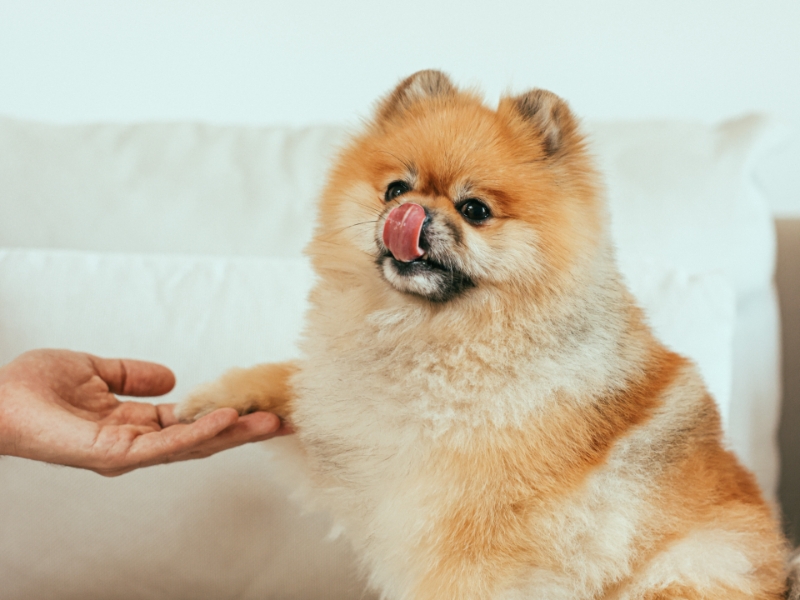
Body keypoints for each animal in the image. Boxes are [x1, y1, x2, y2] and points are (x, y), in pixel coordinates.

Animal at [177, 71, 792, 600]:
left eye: (474, 209)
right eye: (394, 188)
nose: (410, 212)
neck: (435, 339)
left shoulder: (465, 535)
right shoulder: (357, 441)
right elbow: (290, 379)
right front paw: (216, 400)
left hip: (686, 570)